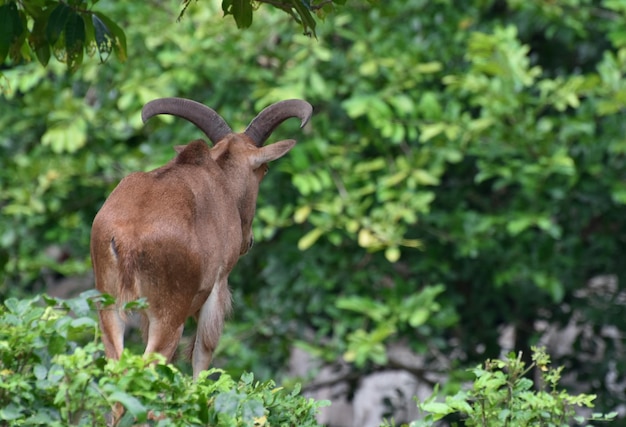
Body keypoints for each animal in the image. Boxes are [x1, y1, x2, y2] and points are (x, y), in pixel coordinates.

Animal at [89, 97, 310, 378]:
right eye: (265, 169)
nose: (248, 241)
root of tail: (128, 239)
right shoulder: (218, 286)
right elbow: (203, 352)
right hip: (169, 317)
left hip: (109, 308)